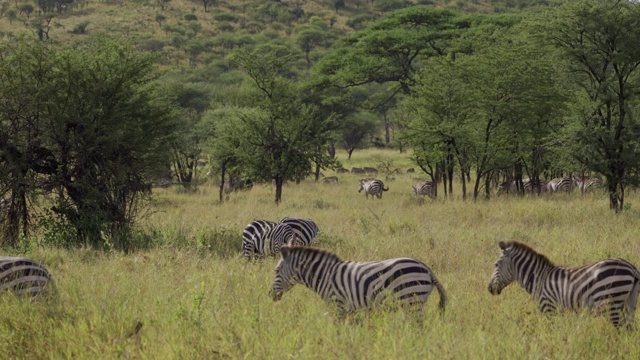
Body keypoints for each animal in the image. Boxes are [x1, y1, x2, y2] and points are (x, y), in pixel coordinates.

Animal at [270, 248, 444, 316]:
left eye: (276, 271)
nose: (270, 294)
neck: (324, 275)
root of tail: (427, 268)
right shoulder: (349, 310)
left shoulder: (337, 304)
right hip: (414, 302)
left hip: (411, 300)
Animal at [490, 240, 640, 328]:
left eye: (496, 264)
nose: (489, 289)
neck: (539, 279)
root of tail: (632, 268)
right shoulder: (558, 311)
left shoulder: (548, 308)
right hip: (629, 303)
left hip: (610, 303)